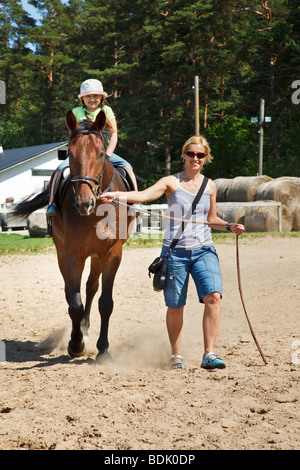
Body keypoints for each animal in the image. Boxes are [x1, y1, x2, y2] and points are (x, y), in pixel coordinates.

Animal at [14, 112, 134, 362]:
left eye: (101, 153)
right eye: (69, 153)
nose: (84, 202)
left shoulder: (112, 254)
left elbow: (105, 302)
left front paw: (103, 349)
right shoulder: (71, 255)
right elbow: (75, 304)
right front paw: (75, 345)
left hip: (96, 256)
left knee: (91, 287)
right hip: (64, 253)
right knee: (71, 292)